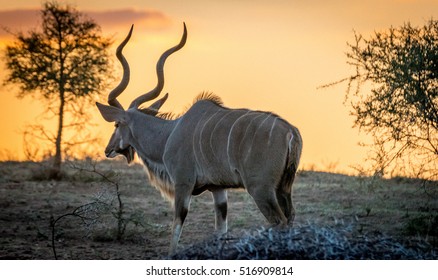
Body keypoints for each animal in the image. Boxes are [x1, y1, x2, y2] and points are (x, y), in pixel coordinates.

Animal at [95, 23, 302, 254]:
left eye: (116, 124)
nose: (108, 149)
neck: (168, 134)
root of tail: (290, 131)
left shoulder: (183, 183)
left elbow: (177, 225)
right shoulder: (218, 189)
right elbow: (221, 230)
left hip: (261, 189)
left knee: (280, 221)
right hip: (283, 188)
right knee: (291, 218)